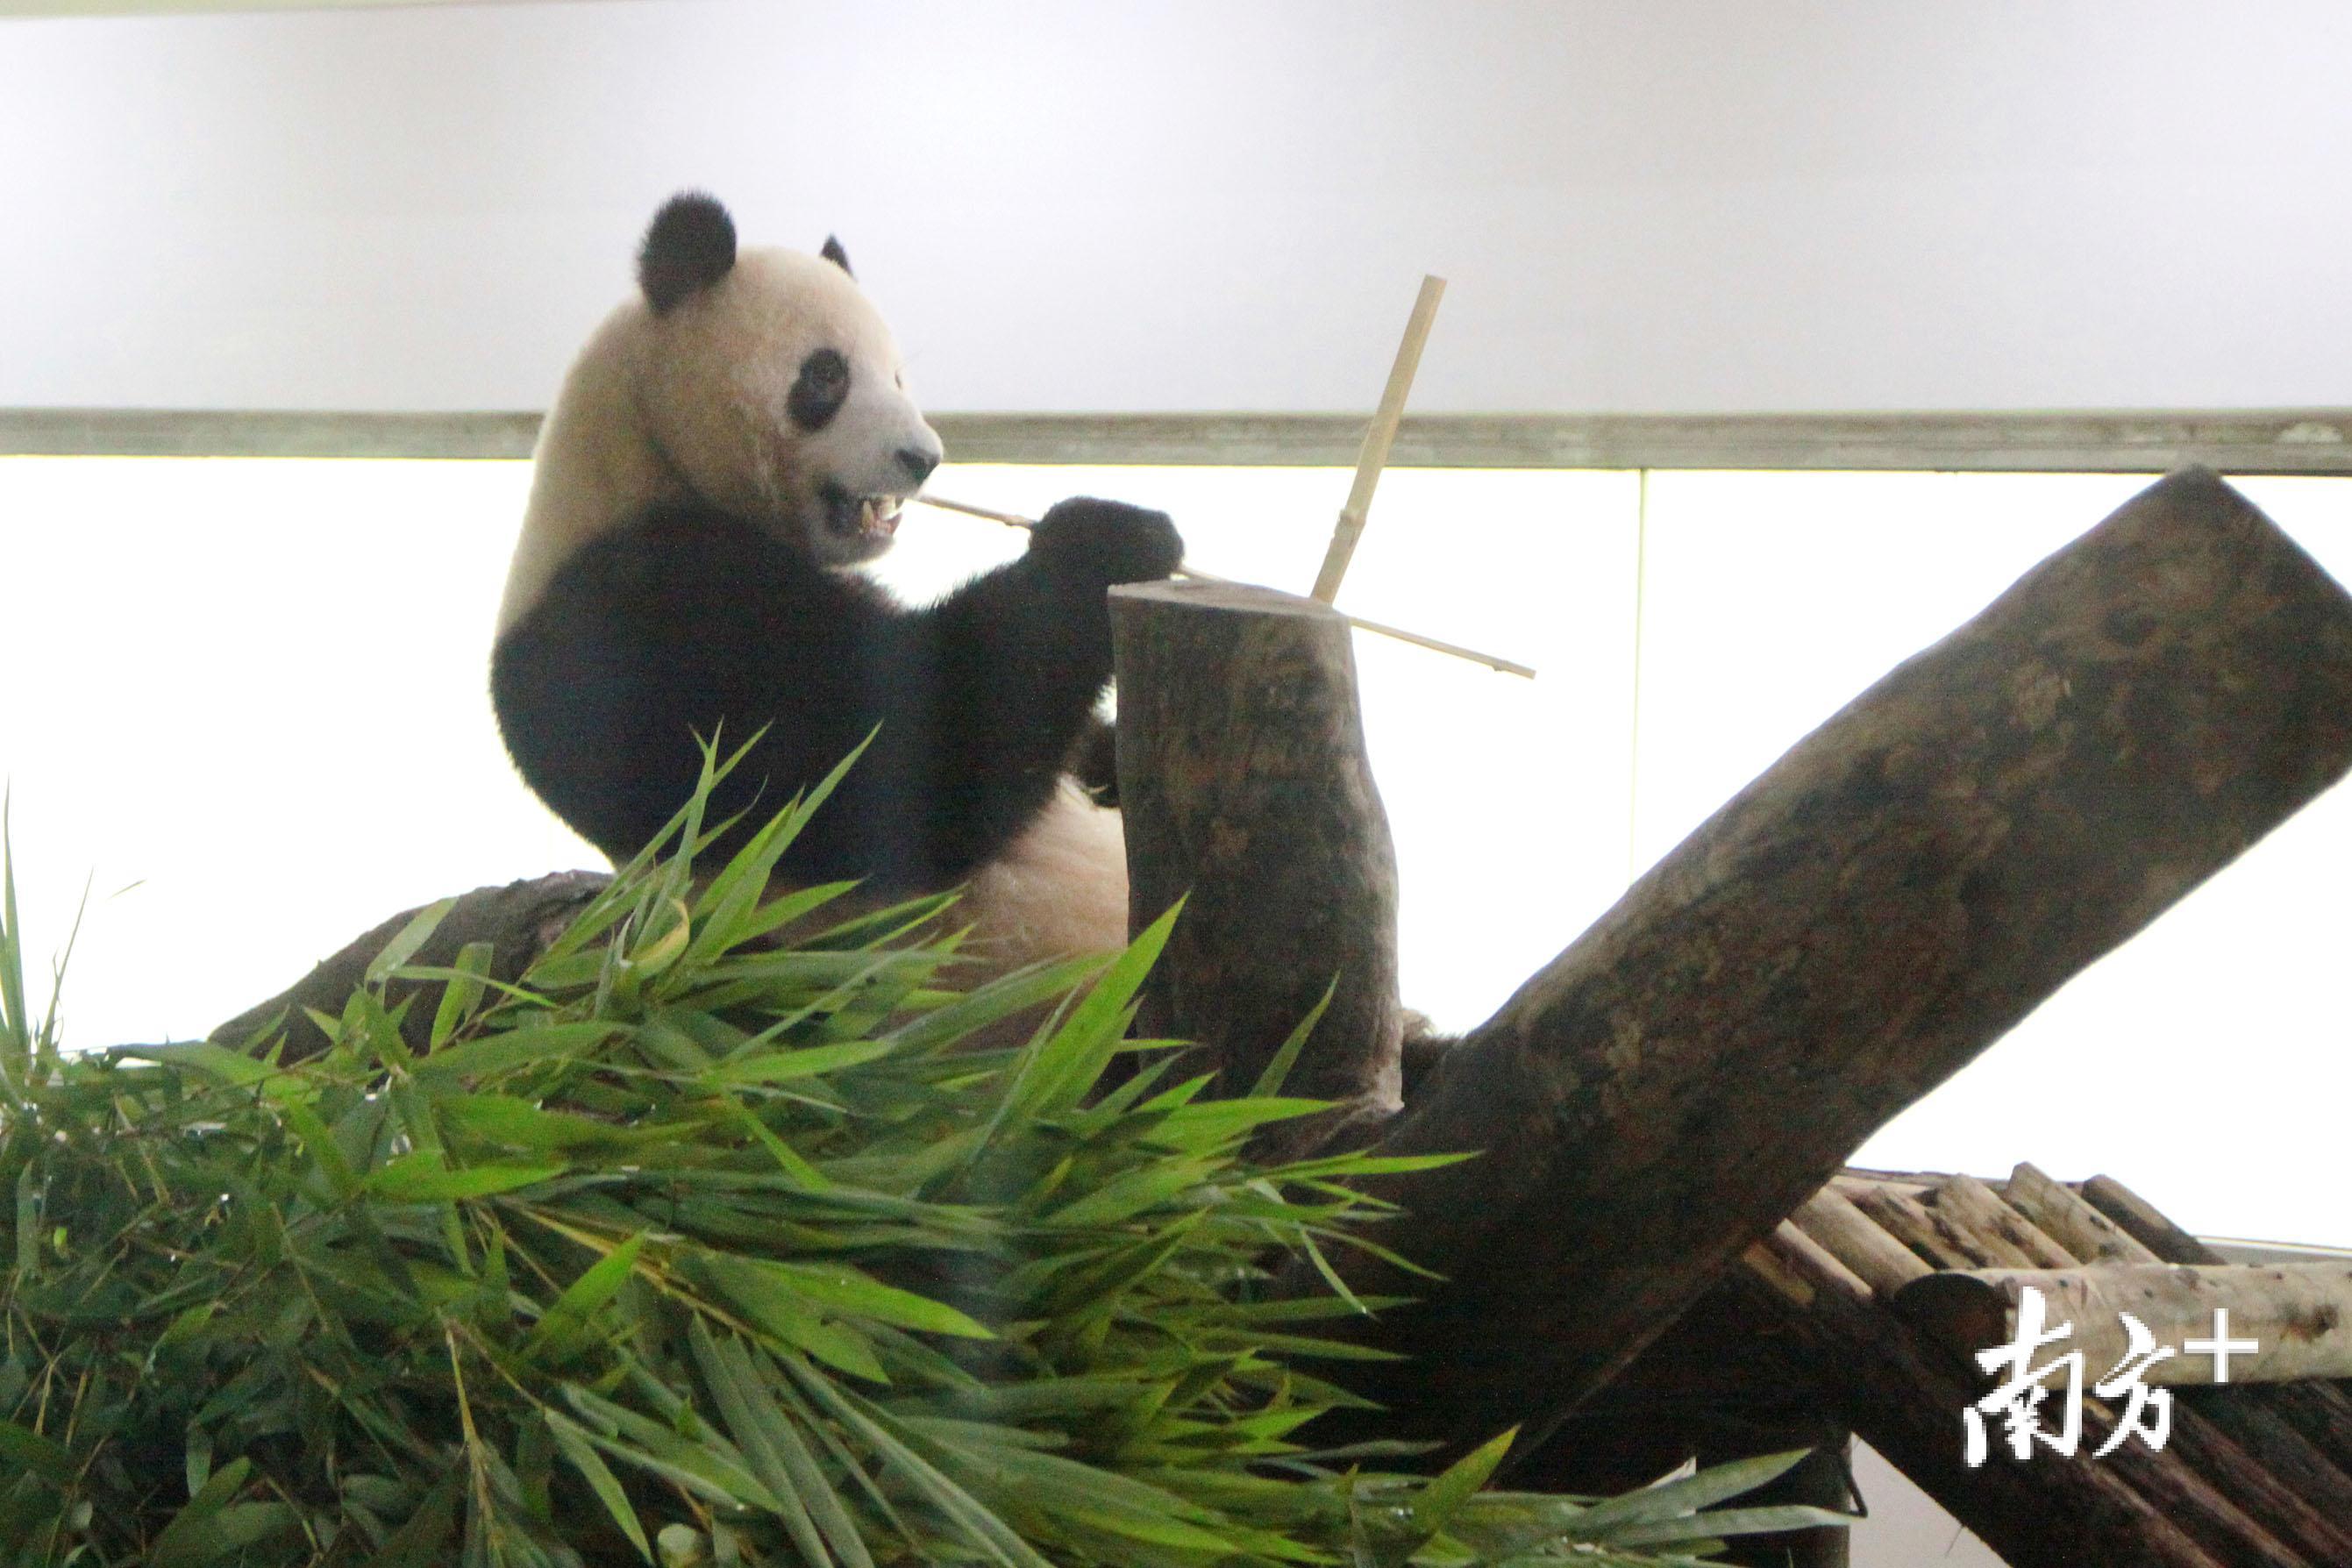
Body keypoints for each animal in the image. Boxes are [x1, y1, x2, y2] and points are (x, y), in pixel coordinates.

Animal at [488, 190, 1185, 973]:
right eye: (827, 375)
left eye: (899, 378)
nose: (923, 457)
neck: (641, 452)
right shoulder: (644, 609)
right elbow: (893, 762)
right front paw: (1114, 538)